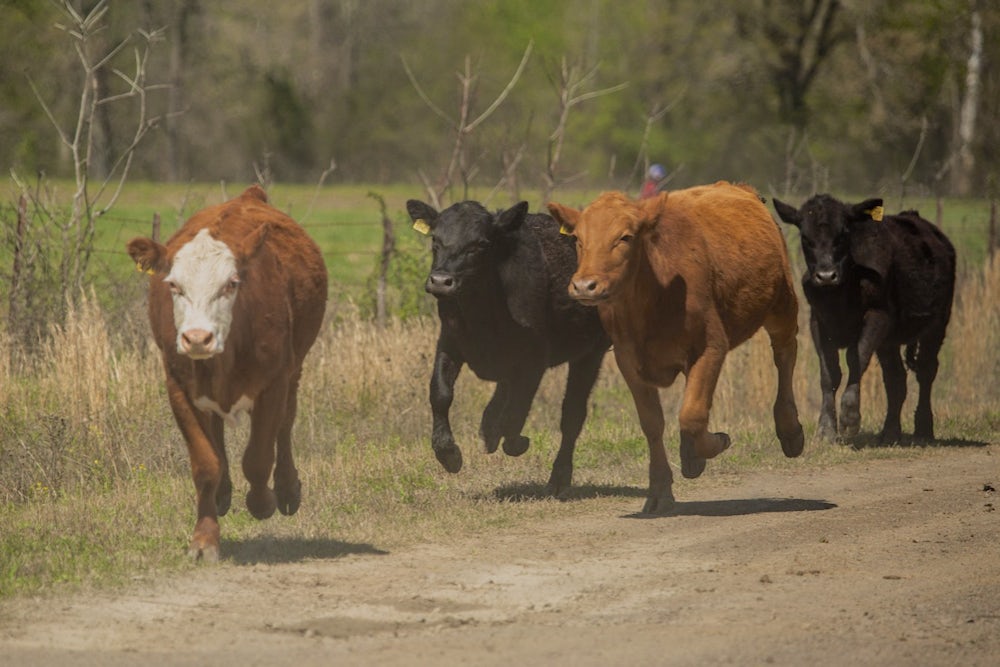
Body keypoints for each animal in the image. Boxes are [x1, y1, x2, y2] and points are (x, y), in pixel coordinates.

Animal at [125, 185, 328, 560]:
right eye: (173, 285)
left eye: (232, 283)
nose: (197, 338)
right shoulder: (178, 386)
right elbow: (206, 464)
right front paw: (204, 539)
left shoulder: (274, 382)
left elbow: (259, 457)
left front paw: (262, 502)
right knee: (218, 434)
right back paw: (222, 493)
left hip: (295, 369)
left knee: (285, 424)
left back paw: (287, 489)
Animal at [406, 200, 608, 496]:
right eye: (435, 240)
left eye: (480, 244)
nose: (441, 281)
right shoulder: (449, 342)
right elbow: (440, 393)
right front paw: (448, 454)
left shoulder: (534, 359)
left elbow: (517, 409)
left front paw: (516, 441)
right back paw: (489, 427)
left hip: (592, 350)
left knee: (572, 413)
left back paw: (559, 477)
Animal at [548, 184, 804, 516]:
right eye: (578, 238)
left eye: (625, 237)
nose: (584, 285)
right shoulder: (628, 360)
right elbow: (653, 423)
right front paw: (660, 490)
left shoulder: (711, 348)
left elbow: (692, 415)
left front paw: (712, 446)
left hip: (782, 304)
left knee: (785, 353)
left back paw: (791, 431)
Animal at [768, 194, 956, 444]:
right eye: (806, 238)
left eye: (843, 234)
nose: (826, 276)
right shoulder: (818, 321)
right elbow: (829, 373)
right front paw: (826, 429)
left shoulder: (877, 316)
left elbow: (856, 358)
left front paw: (849, 418)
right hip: (889, 342)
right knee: (896, 379)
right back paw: (890, 433)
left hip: (937, 324)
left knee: (926, 371)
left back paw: (923, 430)